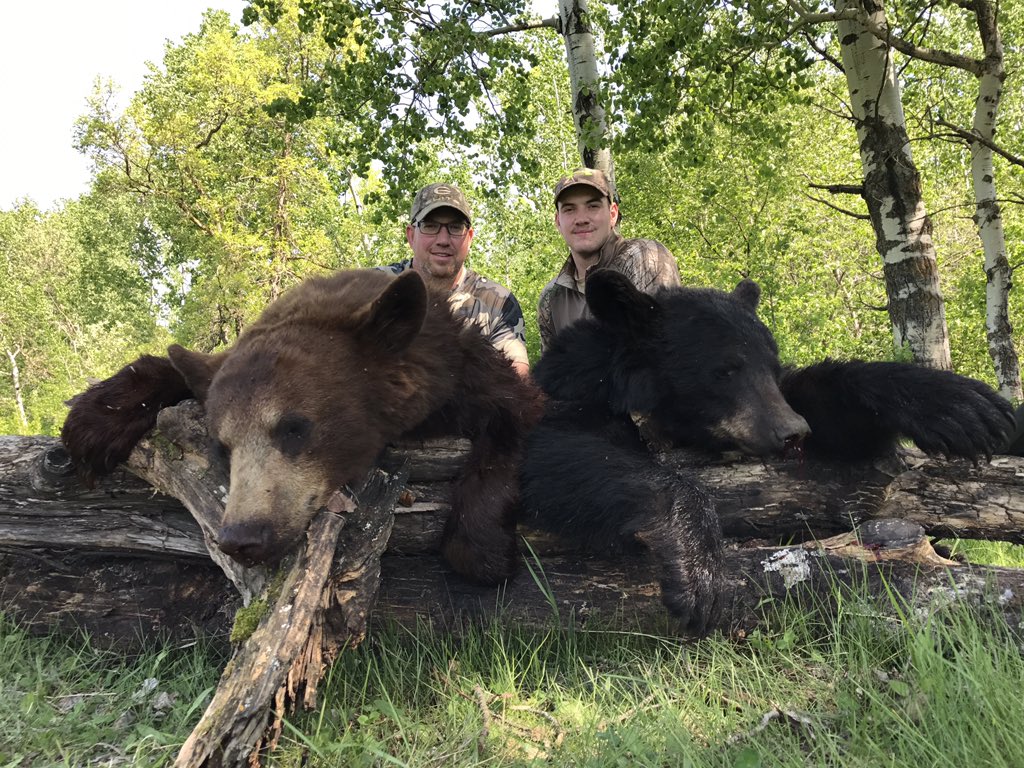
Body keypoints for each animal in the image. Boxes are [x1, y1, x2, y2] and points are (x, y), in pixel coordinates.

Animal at [60, 268, 543, 585]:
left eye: (294, 427)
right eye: (223, 447)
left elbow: (516, 418)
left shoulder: (467, 374)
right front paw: (94, 421)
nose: (242, 536)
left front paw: (482, 551)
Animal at [520, 269, 1016, 636]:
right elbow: (547, 450)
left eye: (770, 367)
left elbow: (838, 416)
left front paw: (957, 405)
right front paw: (699, 569)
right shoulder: (569, 397)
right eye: (725, 369)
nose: (792, 431)